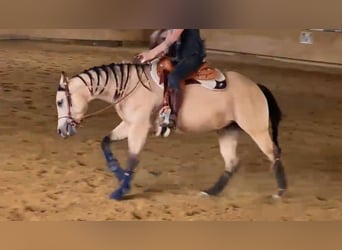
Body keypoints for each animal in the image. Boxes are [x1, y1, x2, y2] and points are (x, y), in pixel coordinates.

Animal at [54, 53, 288, 200]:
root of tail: (256, 86)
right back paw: (211, 192)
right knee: (232, 163)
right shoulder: (128, 124)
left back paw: (281, 190)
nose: (61, 130)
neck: (130, 86)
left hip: (256, 129)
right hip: (227, 130)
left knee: (274, 153)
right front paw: (119, 175)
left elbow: (133, 158)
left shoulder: (139, 127)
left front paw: (121, 190)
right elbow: (106, 143)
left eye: (60, 102)